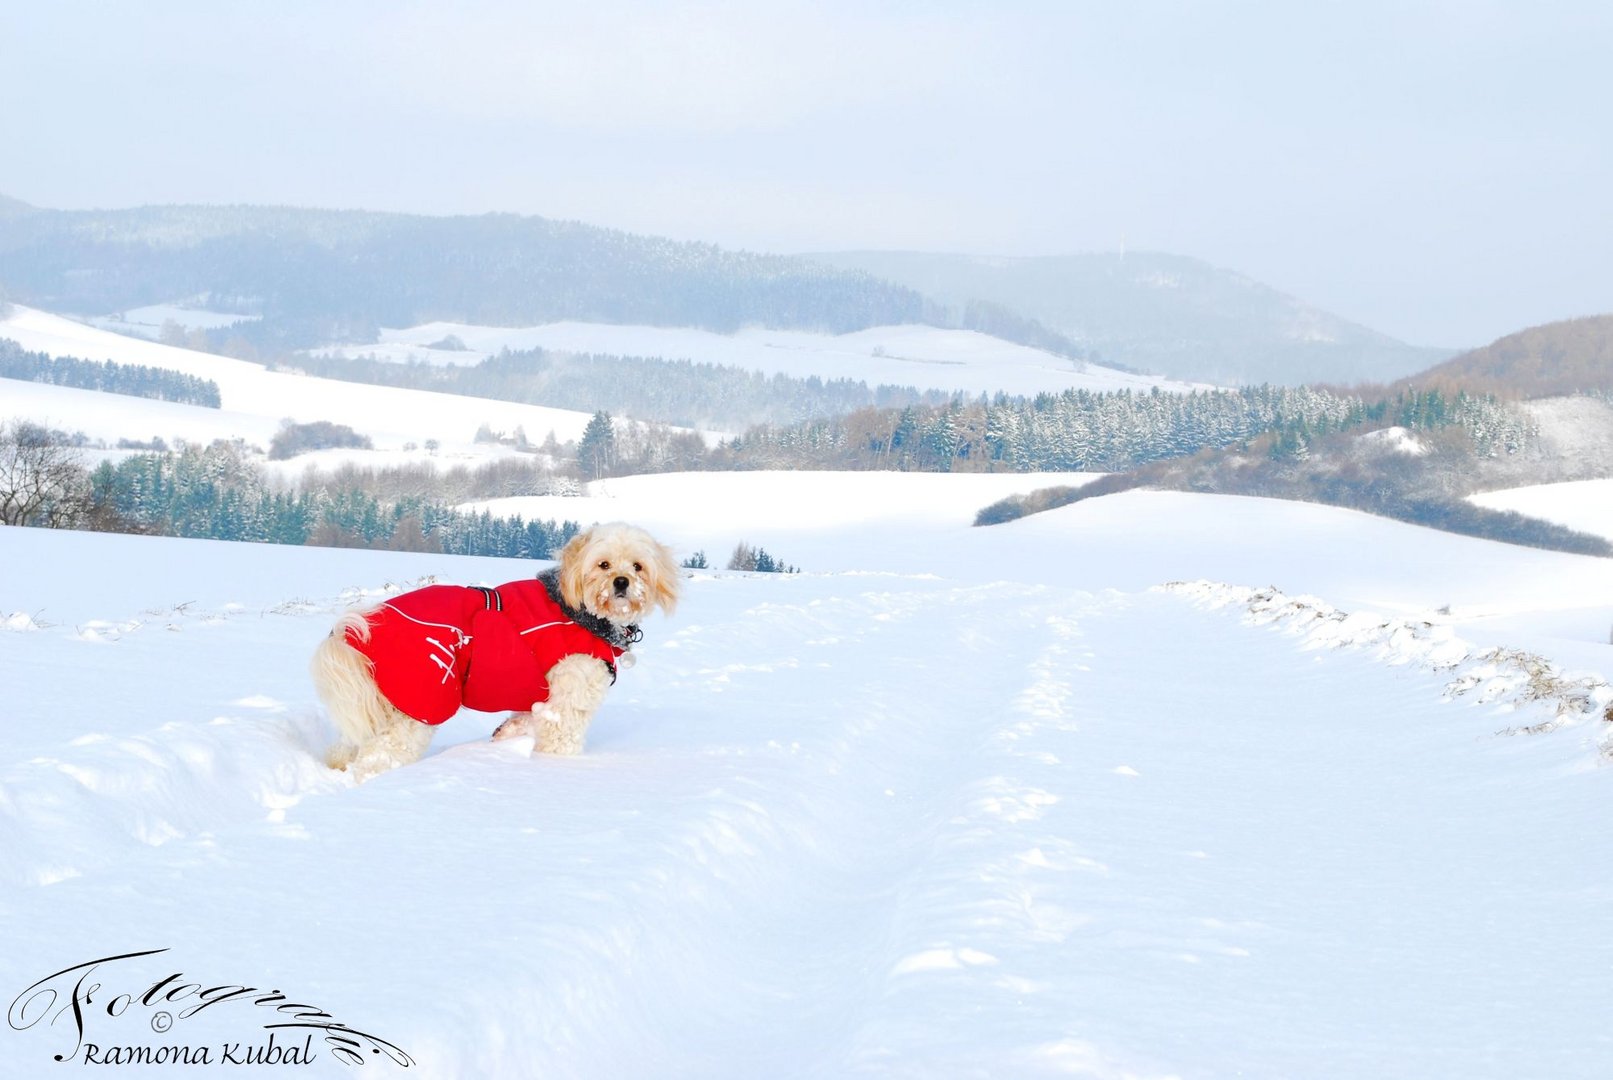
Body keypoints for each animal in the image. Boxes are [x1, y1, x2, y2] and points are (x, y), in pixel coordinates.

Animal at [311, 522, 677, 783]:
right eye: (603, 564)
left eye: (638, 566)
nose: (621, 581)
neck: (580, 612)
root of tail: (351, 633)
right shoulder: (568, 697)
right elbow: (560, 738)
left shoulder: (539, 697)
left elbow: (522, 719)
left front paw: (505, 736)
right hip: (419, 706)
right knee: (377, 759)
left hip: (375, 704)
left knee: (347, 745)